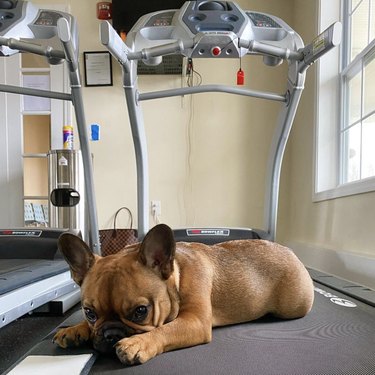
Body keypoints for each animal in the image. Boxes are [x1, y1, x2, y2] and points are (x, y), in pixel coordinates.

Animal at [53, 225, 314, 366]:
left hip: (295, 304)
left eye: (140, 312)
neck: (176, 276)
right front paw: (74, 329)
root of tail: (289, 250)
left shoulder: (194, 322)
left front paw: (137, 343)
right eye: (89, 313)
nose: (111, 334)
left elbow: (165, 330)